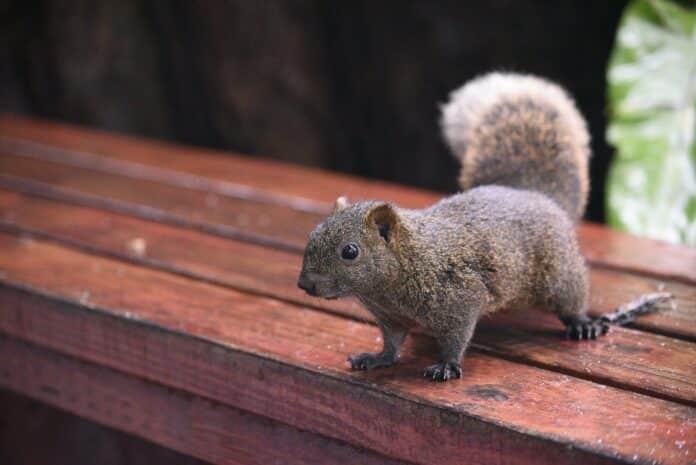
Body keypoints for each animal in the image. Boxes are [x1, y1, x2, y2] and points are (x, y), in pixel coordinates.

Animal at [296, 71, 672, 380]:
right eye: (312, 235)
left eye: (350, 252)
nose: (304, 284)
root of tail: (536, 195)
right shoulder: (389, 316)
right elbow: (392, 342)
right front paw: (377, 358)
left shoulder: (460, 297)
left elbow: (456, 336)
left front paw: (447, 365)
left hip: (559, 272)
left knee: (571, 299)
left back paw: (582, 324)